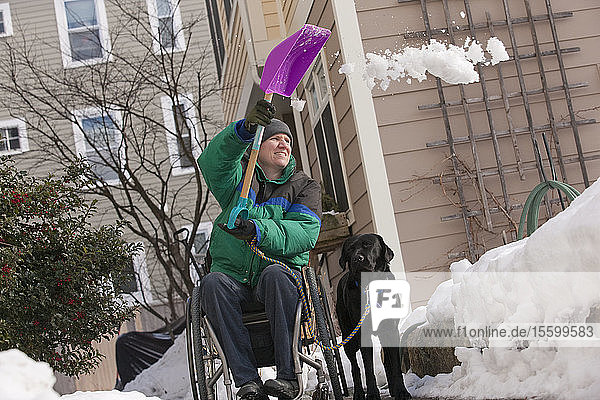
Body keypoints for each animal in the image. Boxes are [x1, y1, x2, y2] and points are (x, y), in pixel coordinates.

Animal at [336, 233, 410, 400]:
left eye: (368, 244)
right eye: (350, 249)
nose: (357, 258)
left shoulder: (391, 331)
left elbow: (395, 365)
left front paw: (401, 391)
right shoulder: (362, 333)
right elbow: (368, 367)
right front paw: (372, 394)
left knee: (387, 362)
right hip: (348, 337)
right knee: (355, 367)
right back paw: (358, 393)